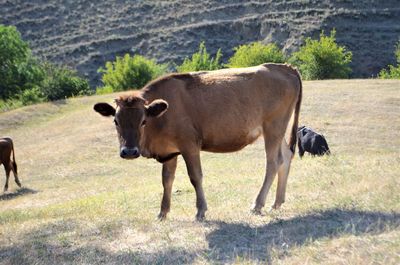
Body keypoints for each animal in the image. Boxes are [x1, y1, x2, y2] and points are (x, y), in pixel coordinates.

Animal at [94, 63, 300, 220]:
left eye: (143, 121)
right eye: (116, 121)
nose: (129, 152)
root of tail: (284, 67)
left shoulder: (189, 145)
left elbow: (195, 176)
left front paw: (200, 211)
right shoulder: (169, 151)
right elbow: (166, 180)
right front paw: (162, 212)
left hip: (273, 127)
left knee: (273, 163)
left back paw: (257, 204)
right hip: (276, 129)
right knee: (286, 157)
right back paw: (277, 202)